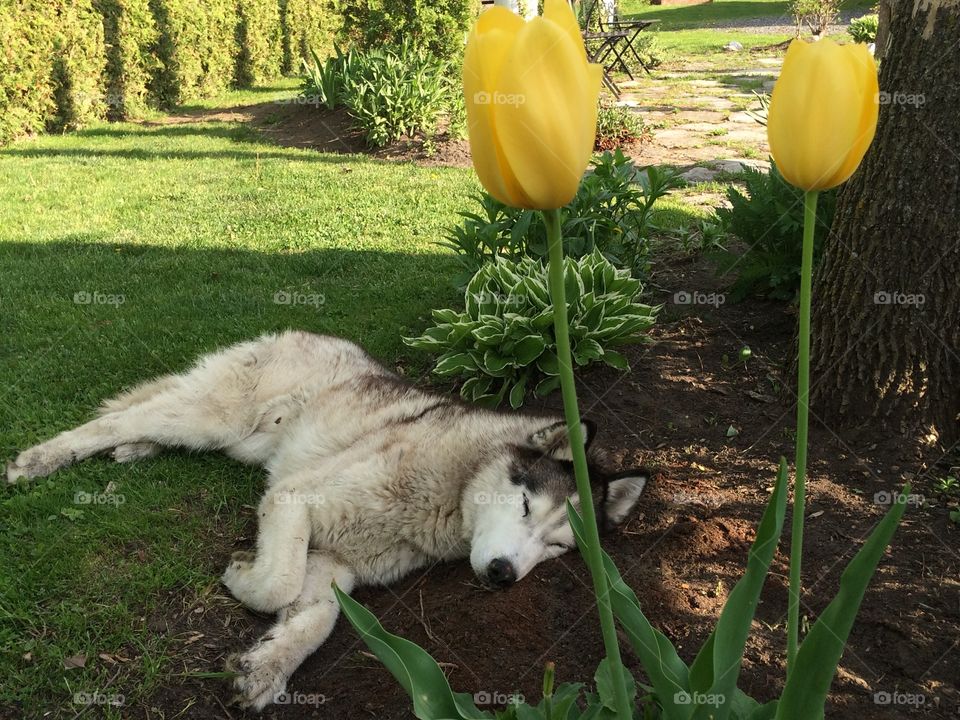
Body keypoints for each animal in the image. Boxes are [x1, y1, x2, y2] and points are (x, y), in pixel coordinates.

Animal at [5, 330, 644, 708]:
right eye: (525, 506)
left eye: (559, 548)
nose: (504, 576)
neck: (448, 489)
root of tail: (304, 332)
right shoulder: (292, 499)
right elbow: (277, 584)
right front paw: (242, 574)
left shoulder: (334, 565)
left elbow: (315, 619)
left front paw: (266, 668)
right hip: (215, 419)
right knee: (119, 418)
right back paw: (41, 459)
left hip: (237, 441)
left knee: (142, 420)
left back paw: (135, 450)